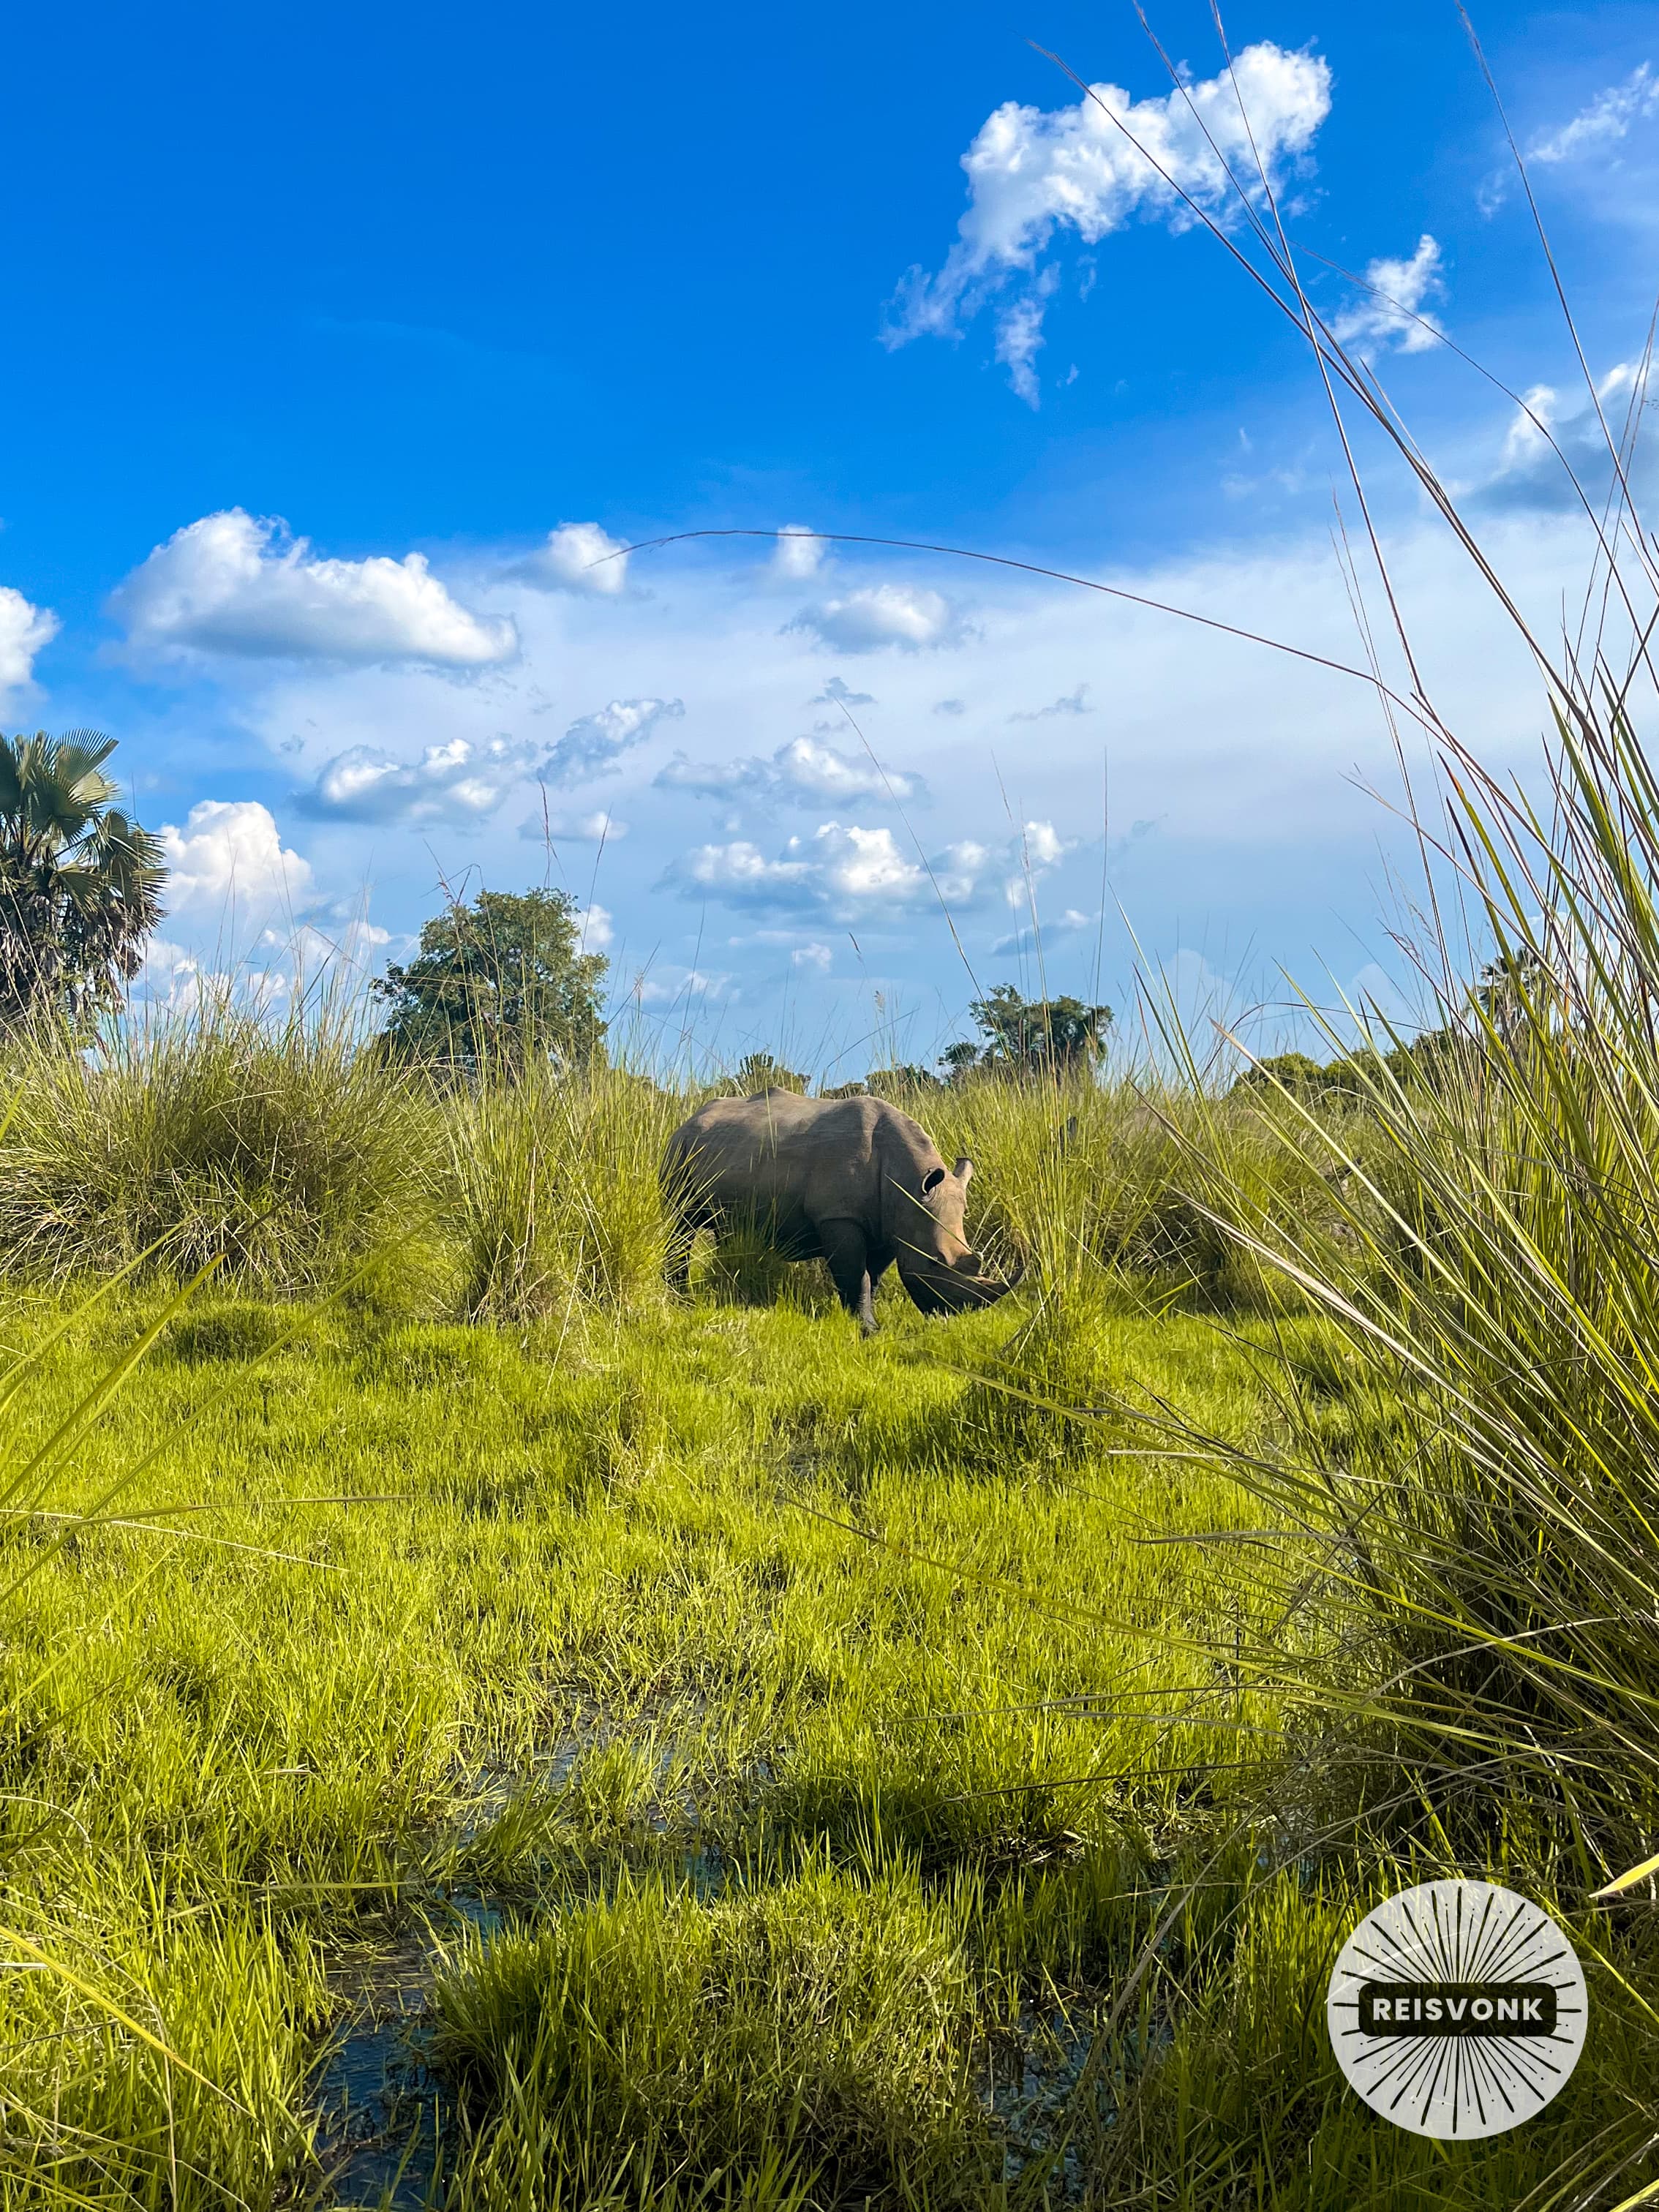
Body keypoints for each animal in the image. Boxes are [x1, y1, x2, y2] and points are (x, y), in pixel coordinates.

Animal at [661, 1089, 1015, 1333]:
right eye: (934, 1262)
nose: (952, 1315)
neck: (909, 1183)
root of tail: (688, 1119)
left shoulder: (889, 1225)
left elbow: (872, 1277)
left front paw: (861, 1319)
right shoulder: (838, 1216)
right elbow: (856, 1275)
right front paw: (868, 1330)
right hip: (680, 1151)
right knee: (682, 1224)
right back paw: (681, 1298)